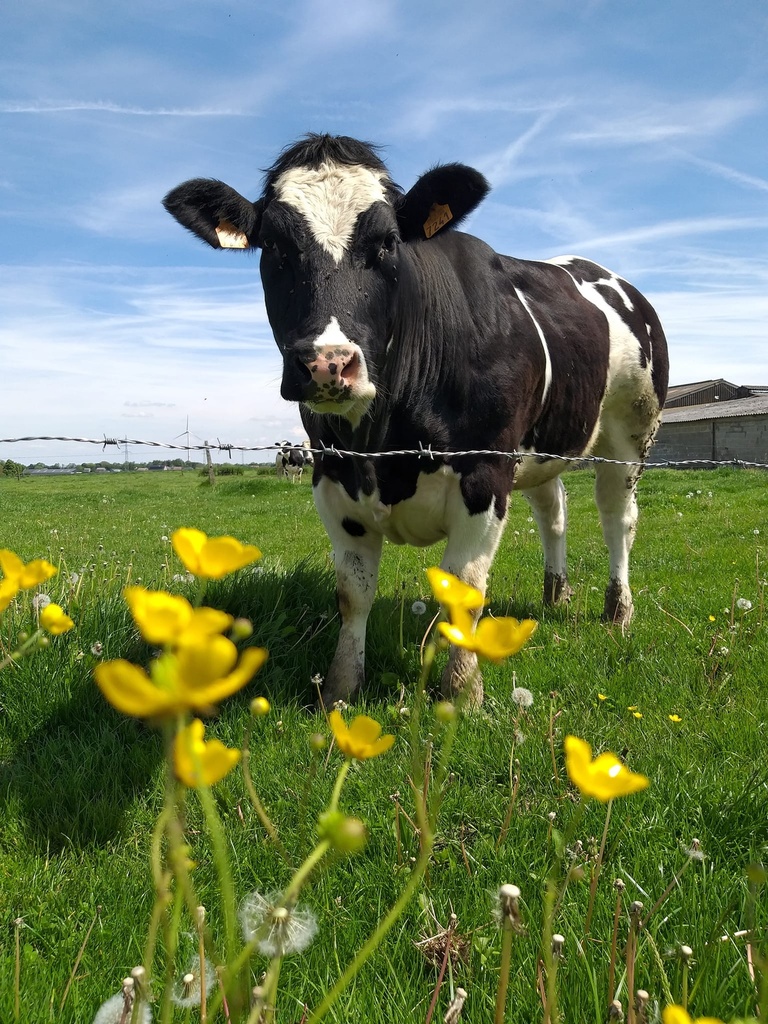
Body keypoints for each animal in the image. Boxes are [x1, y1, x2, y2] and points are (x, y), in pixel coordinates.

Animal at [165, 132, 671, 708]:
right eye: (274, 246)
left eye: (387, 243)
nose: (327, 363)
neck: (384, 449)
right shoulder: (331, 475)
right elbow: (353, 593)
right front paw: (341, 688)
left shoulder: (485, 473)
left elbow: (465, 588)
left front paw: (463, 692)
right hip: (540, 446)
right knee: (553, 511)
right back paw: (555, 595)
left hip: (631, 431)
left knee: (617, 517)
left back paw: (618, 611)